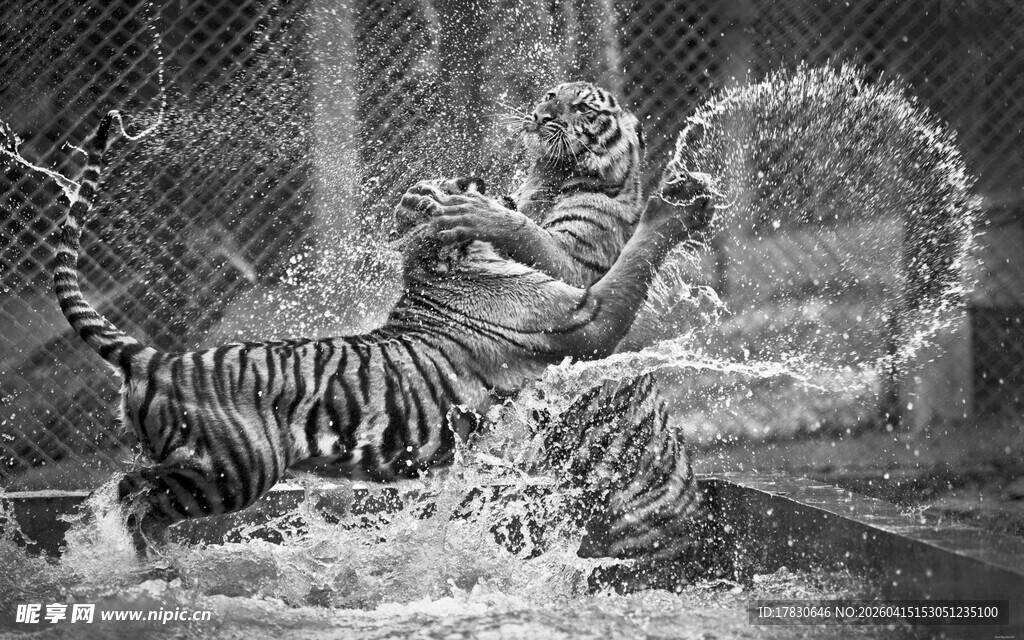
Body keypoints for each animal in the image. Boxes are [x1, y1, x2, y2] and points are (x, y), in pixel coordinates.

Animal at [54, 110, 716, 554]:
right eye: (462, 184)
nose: (481, 178)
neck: (435, 264)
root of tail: (157, 360)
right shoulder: (583, 317)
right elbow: (630, 263)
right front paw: (676, 205)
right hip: (228, 473)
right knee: (135, 497)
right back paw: (137, 558)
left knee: (127, 489)